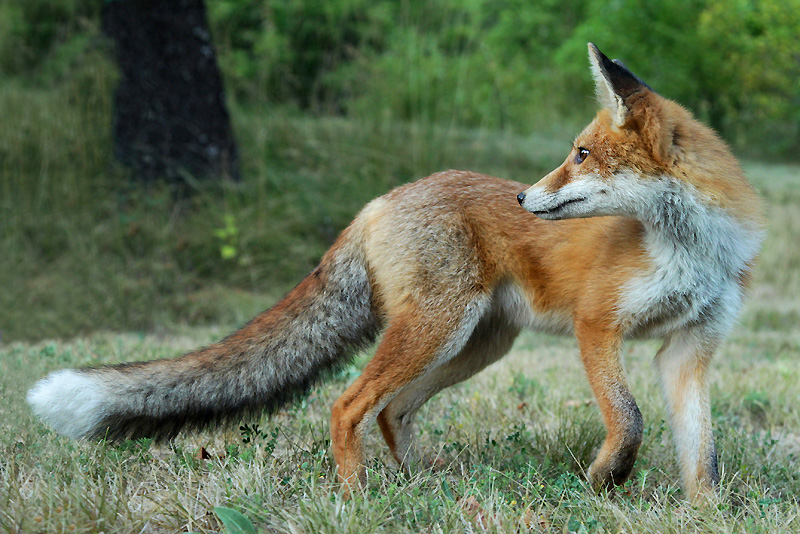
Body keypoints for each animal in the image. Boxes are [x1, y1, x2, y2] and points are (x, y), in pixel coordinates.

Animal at [27, 44, 764, 502]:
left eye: (581, 154)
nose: (523, 198)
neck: (694, 249)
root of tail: (379, 200)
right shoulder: (596, 326)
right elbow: (630, 418)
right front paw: (606, 479)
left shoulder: (690, 348)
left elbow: (703, 455)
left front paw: (703, 513)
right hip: (440, 329)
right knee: (350, 403)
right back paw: (355, 495)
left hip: (476, 342)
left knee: (392, 411)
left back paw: (417, 485)